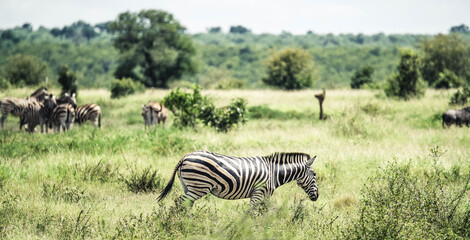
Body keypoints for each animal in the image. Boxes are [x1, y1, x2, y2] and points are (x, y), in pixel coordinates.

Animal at [159, 151, 320, 207]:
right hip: (199, 187)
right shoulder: (258, 192)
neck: (273, 172)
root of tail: (185, 157)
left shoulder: (266, 195)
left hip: (188, 186)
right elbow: (251, 212)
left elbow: (264, 211)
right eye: (314, 175)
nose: (317, 196)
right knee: (180, 202)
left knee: (185, 203)